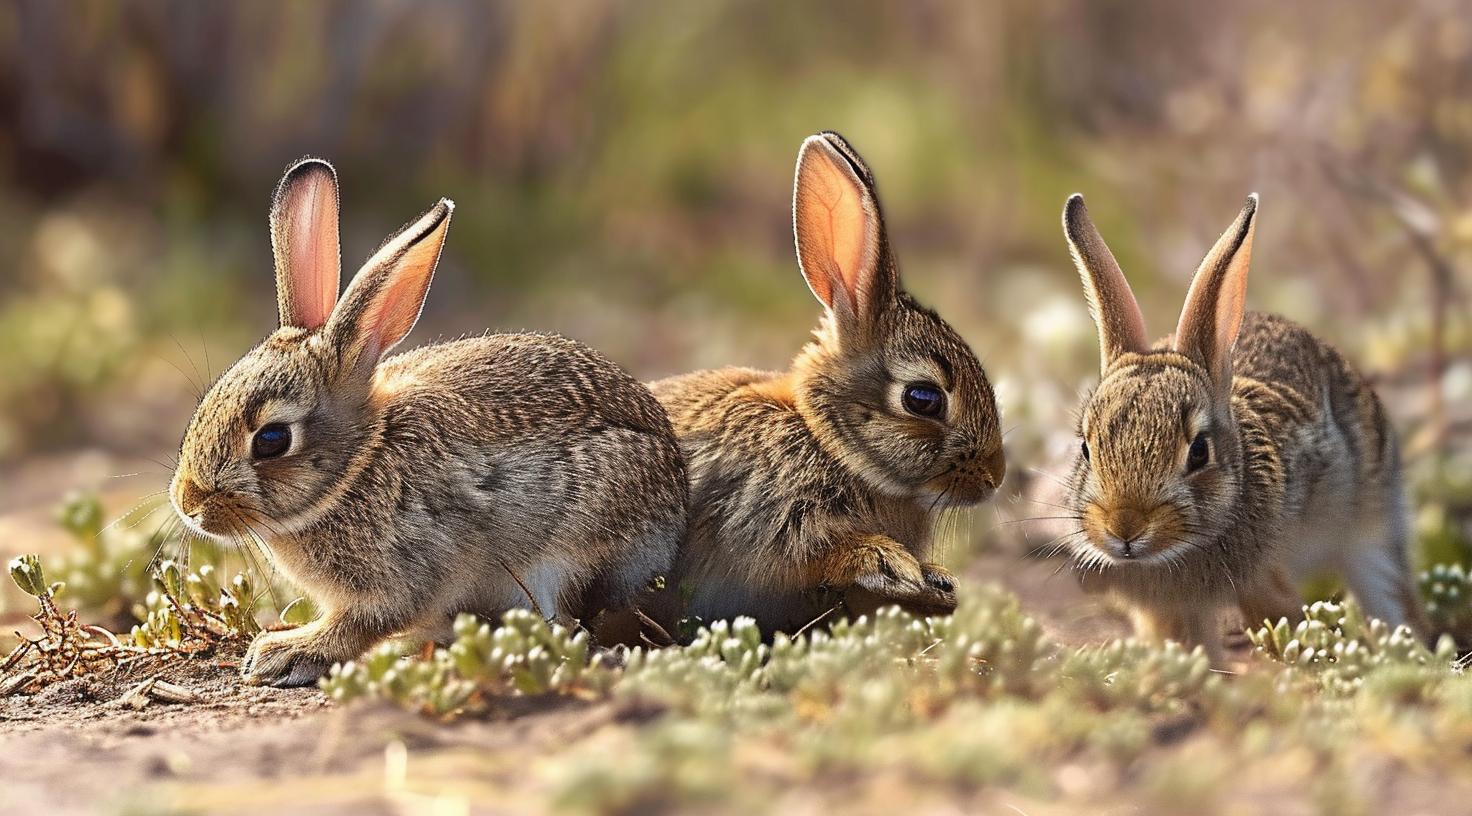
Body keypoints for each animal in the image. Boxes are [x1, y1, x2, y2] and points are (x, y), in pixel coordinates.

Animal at [168, 155, 688, 683]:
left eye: (272, 439)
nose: (189, 503)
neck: (358, 466)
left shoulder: (405, 572)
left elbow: (361, 624)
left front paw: (285, 652)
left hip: (571, 553)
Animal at [650, 130, 1006, 633]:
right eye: (923, 398)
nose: (996, 476)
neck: (827, 441)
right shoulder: (763, 523)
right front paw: (888, 562)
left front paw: (937, 578)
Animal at [1059, 194, 1424, 662]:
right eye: (1086, 449)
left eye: (1199, 452)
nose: (1124, 529)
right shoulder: (1165, 610)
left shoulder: (1266, 582)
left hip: (1371, 522)